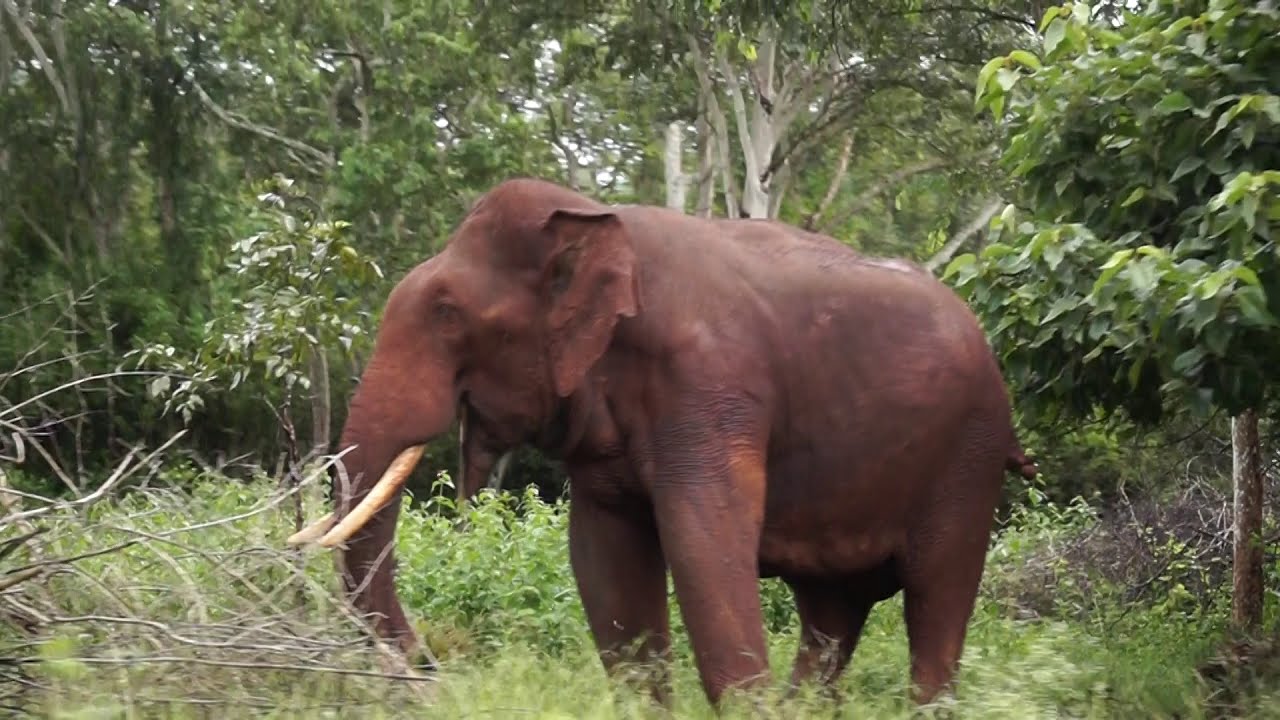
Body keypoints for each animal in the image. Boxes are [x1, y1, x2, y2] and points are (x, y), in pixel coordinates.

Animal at [288, 177, 1037, 707]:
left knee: (937, 600)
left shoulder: (712, 390)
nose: (432, 667)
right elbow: (607, 560)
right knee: (833, 611)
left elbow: (706, 547)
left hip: (968, 455)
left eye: (447, 314)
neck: (597, 219)